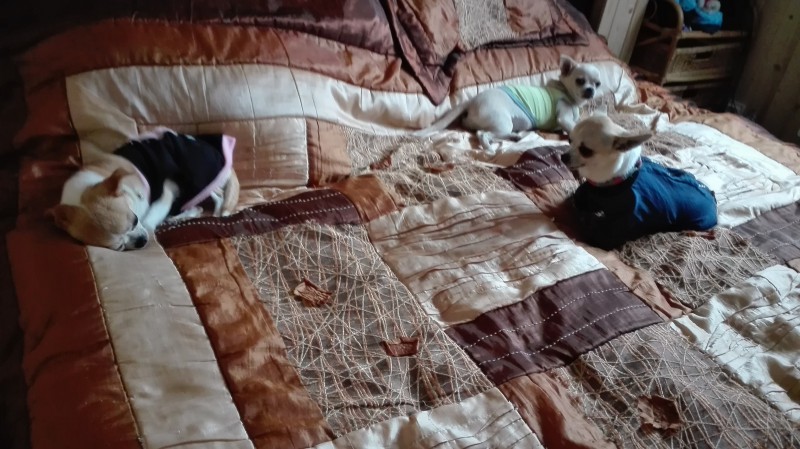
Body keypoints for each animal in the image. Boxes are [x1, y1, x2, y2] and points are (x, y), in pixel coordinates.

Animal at [51, 129, 240, 251]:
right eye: (119, 247)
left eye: (135, 220)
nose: (141, 241)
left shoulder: (166, 191)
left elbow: (151, 217)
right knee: (208, 199)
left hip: (196, 177)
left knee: (218, 196)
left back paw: (211, 214)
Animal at [414, 55, 603, 150]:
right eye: (580, 81)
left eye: (598, 84)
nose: (590, 90)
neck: (567, 93)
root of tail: (472, 100)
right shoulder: (564, 118)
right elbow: (573, 126)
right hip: (502, 123)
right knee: (483, 134)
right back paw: (489, 147)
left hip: (502, 126)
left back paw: (514, 136)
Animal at [561, 111, 717, 250]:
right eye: (569, 140)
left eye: (586, 151)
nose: (563, 156)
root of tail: (711, 195)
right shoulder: (589, 194)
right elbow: (578, 198)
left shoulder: (629, 218)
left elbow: (598, 230)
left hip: (698, 221)